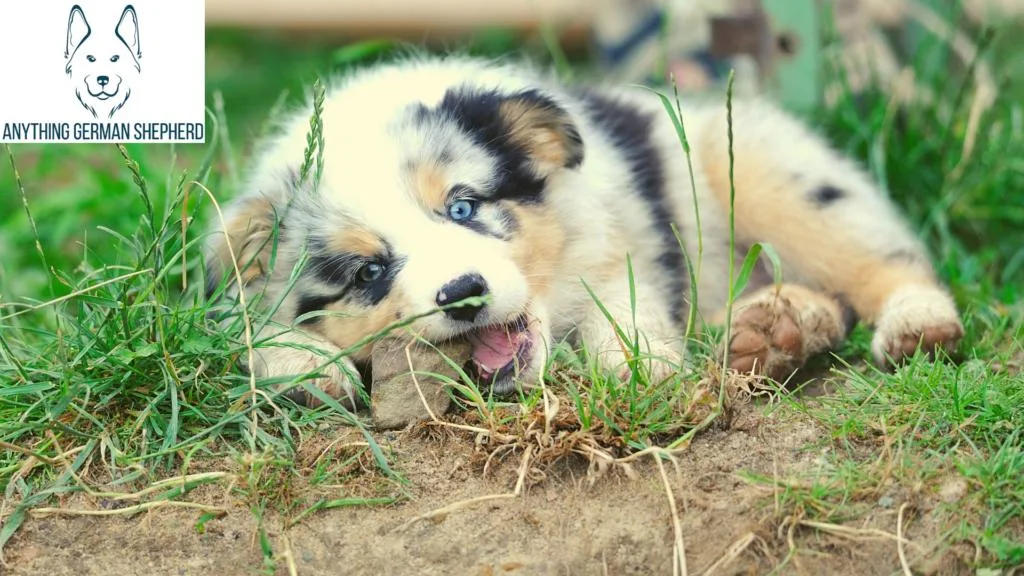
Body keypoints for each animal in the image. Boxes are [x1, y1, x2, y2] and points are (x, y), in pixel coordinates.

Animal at [203, 52, 962, 403]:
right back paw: (774, 330)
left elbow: (621, 307)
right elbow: (247, 331)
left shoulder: (614, 243)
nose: (464, 294)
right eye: (369, 270)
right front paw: (306, 366)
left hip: (777, 176)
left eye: (463, 207)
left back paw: (915, 324)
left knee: (881, 259)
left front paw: (637, 366)